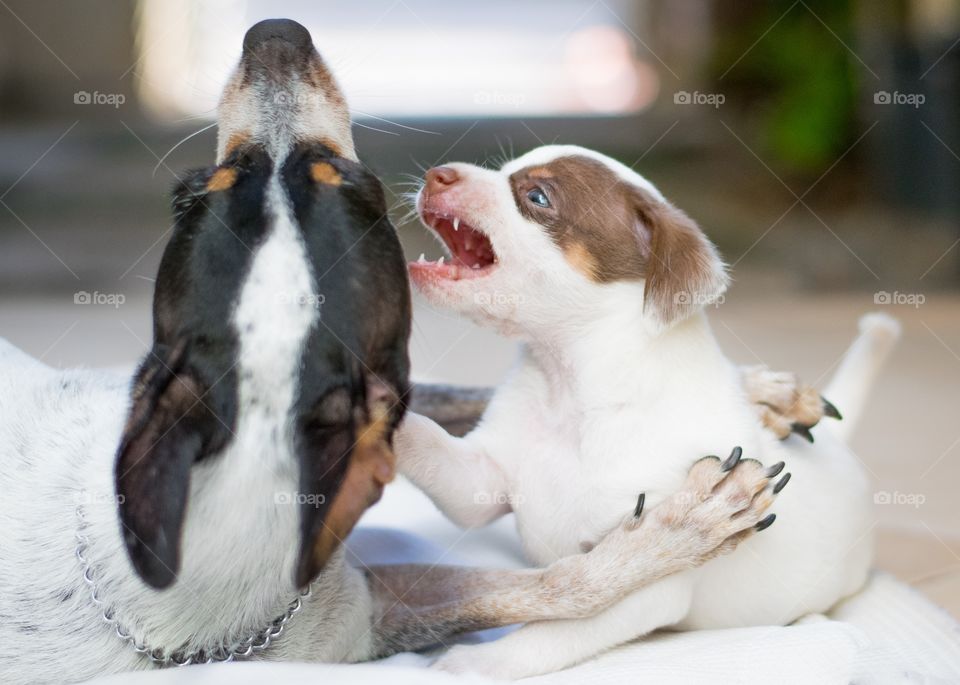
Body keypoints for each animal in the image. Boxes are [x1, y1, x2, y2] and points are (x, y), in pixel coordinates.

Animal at [392, 146, 900, 680]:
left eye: (537, 196)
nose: (437, 173)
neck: (572, 395)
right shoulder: (478, 479)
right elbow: (427, 442)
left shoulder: (649, 594)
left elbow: (554, 629)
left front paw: (469, 664)